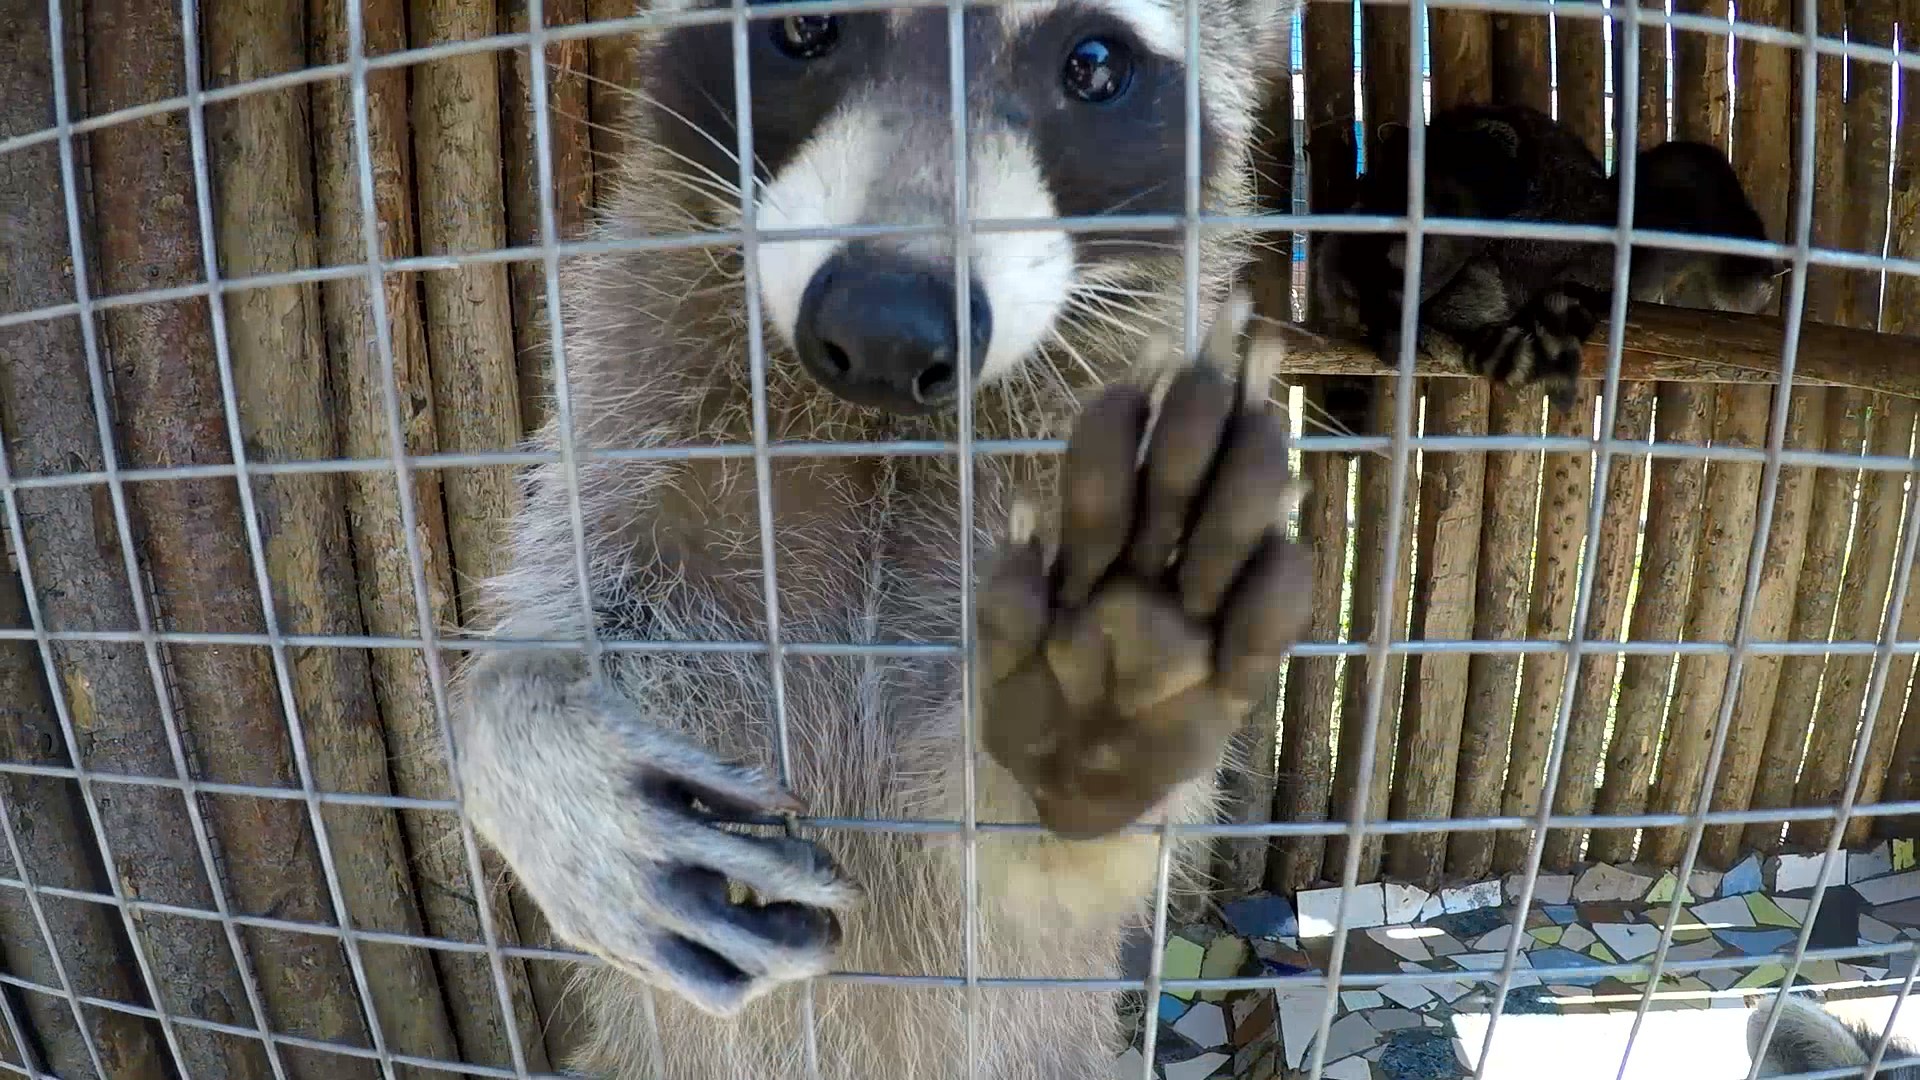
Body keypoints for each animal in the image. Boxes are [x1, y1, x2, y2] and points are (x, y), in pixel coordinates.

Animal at [453, 0, 1305, 1068]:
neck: (878, 431)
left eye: (1096, 65)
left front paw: (1103, 702)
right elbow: (548, 613)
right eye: (804, 26)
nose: (887, 329)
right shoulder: (629, 399)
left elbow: (1031, 884)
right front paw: (522, 733)